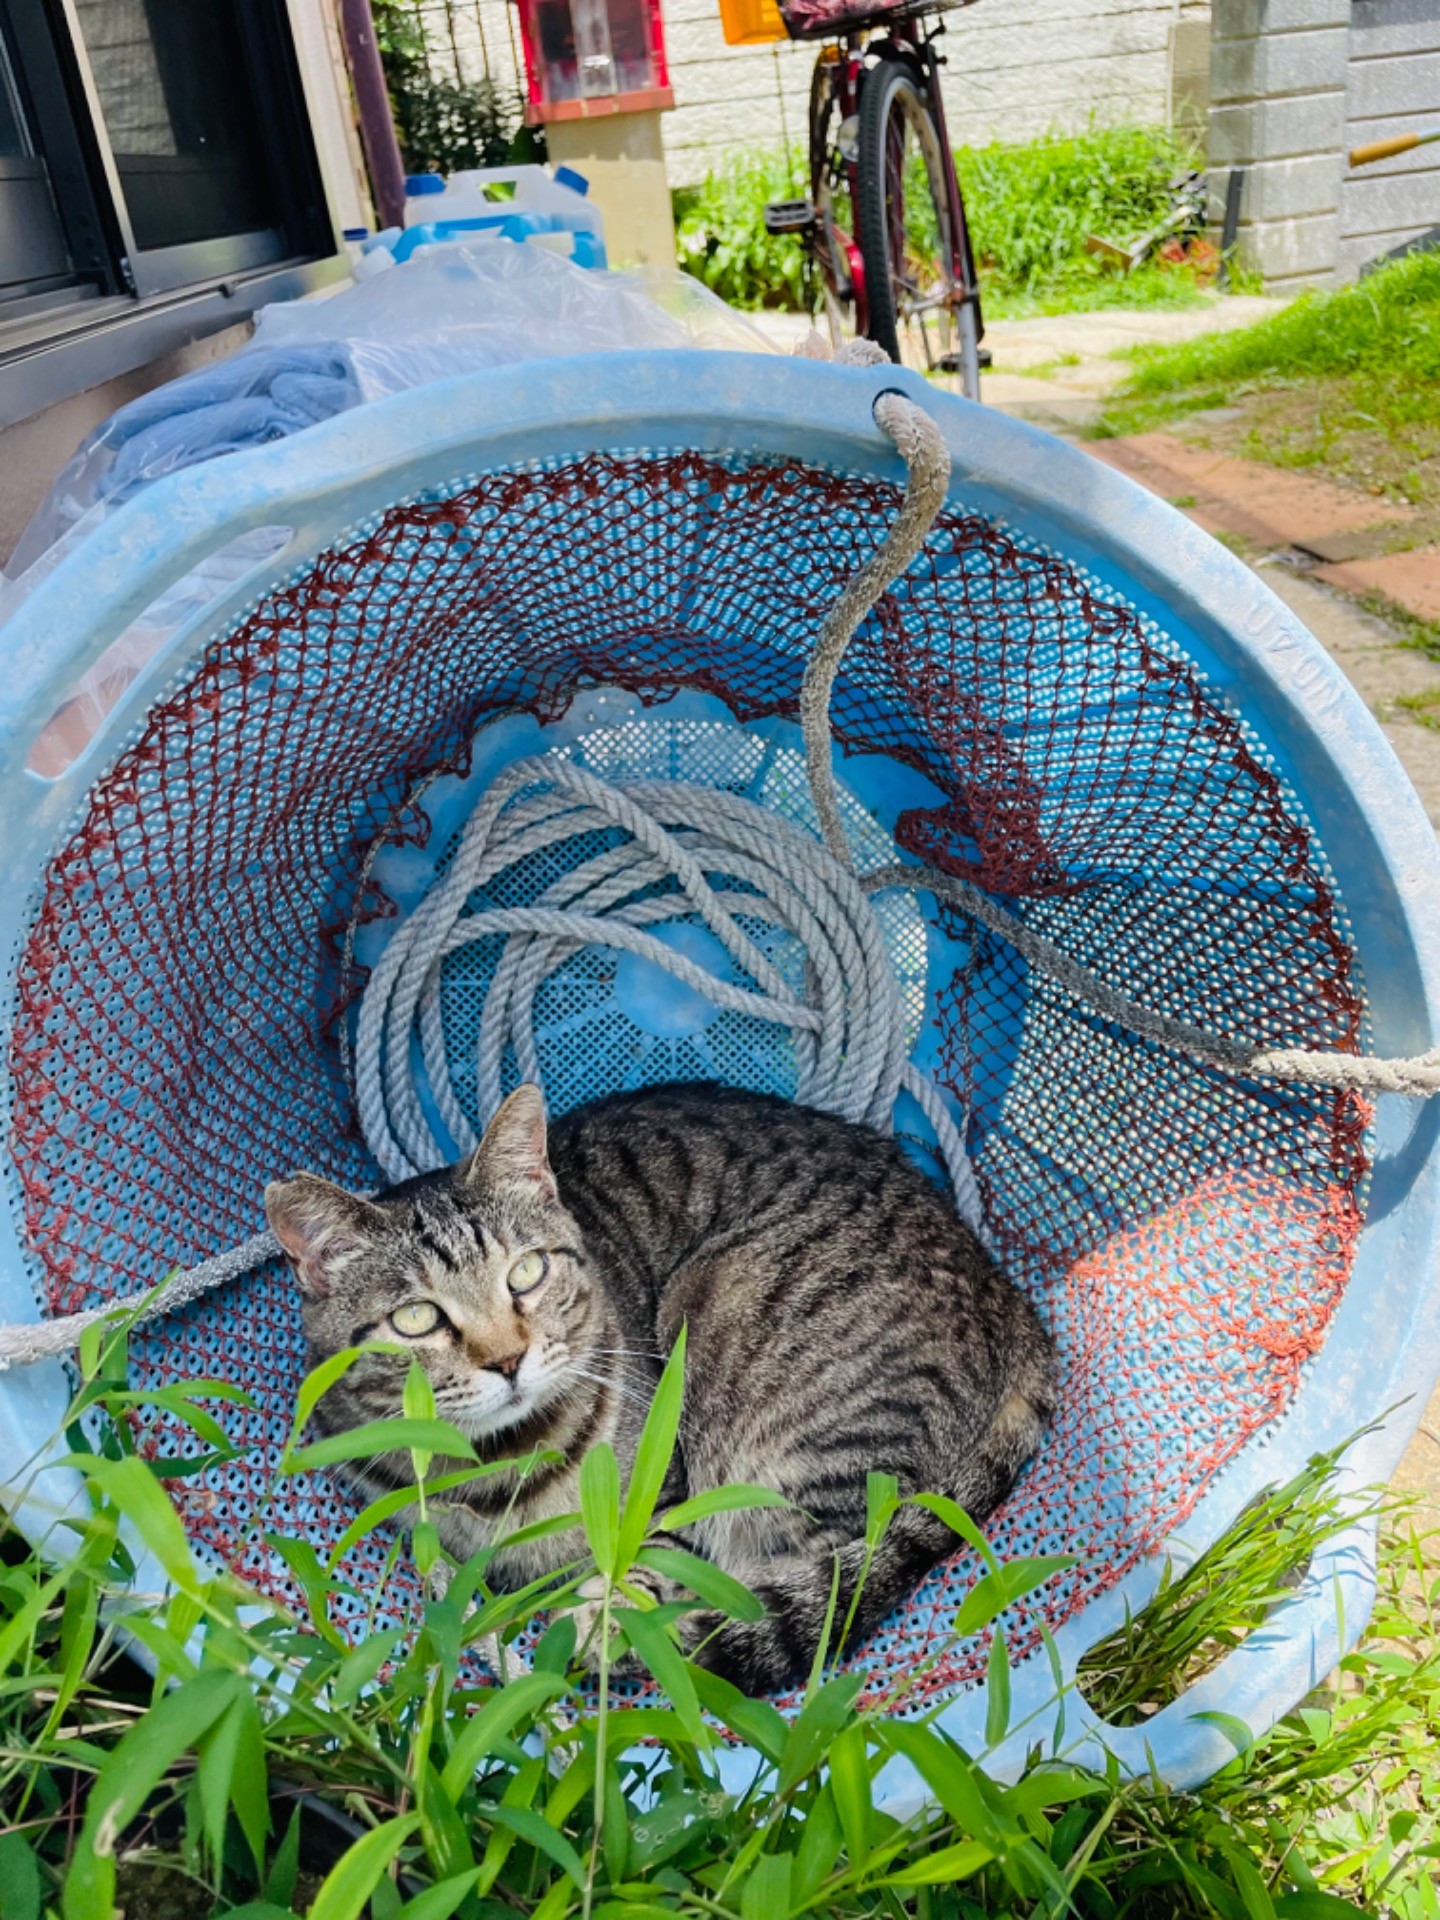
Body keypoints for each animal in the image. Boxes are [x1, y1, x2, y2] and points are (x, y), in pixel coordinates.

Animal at [268, 1090, 1059, 1689]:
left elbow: (655, 1555)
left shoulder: (669, 1478)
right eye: (416, 1319)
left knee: (835, 1571)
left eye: (526, 1272)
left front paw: (602, 1621)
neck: (498, 1467)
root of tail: (1014, 1301)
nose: (508, 1360)